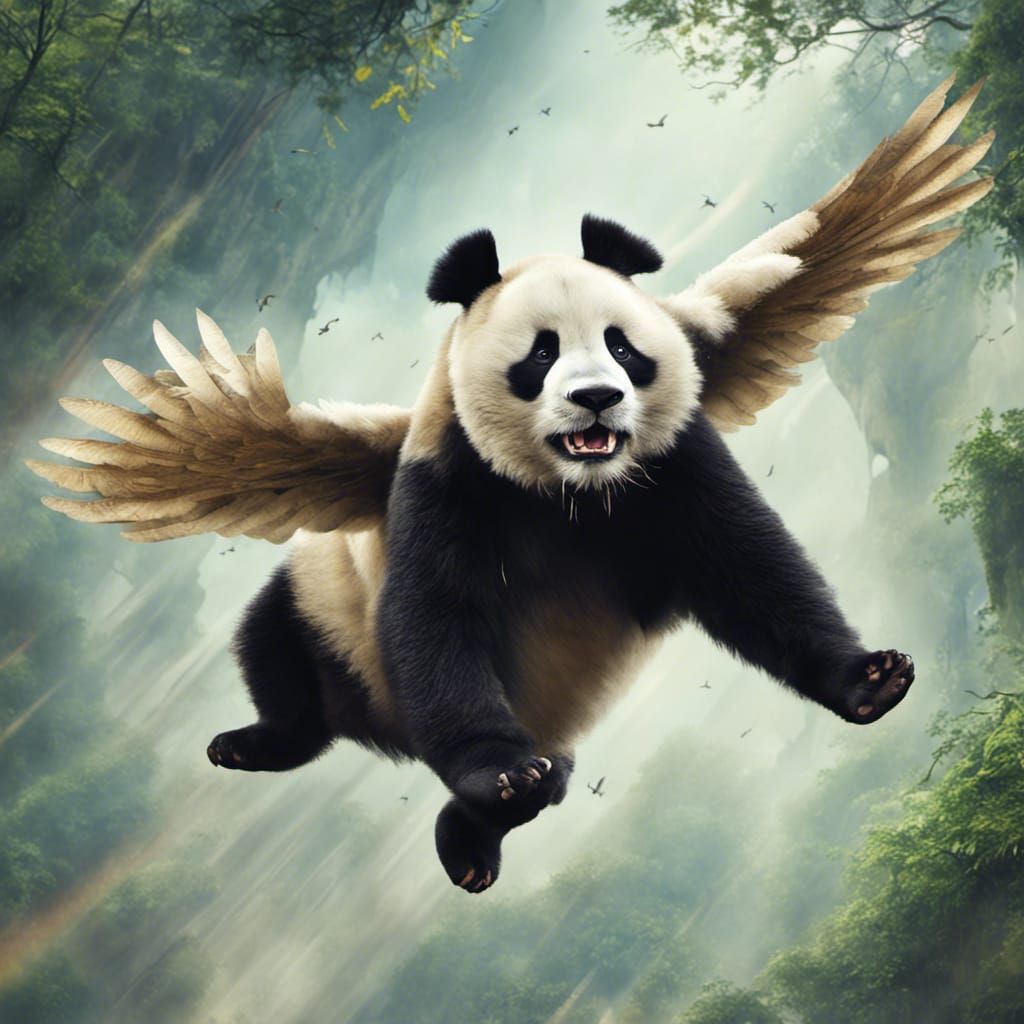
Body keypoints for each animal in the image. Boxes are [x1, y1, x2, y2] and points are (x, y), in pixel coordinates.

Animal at [30, 76, 991, 893]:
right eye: (539, 355)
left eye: (622, 347)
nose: (596, 398)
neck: (568, 490)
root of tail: (380, 731)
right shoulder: (445, 479)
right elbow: (436, 615)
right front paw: (495, 768)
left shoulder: (671, 463)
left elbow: (749, 567)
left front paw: (872, 678)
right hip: (328, 610)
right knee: (275, 647)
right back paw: (275, 746)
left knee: (546, 783)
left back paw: (472, 839)